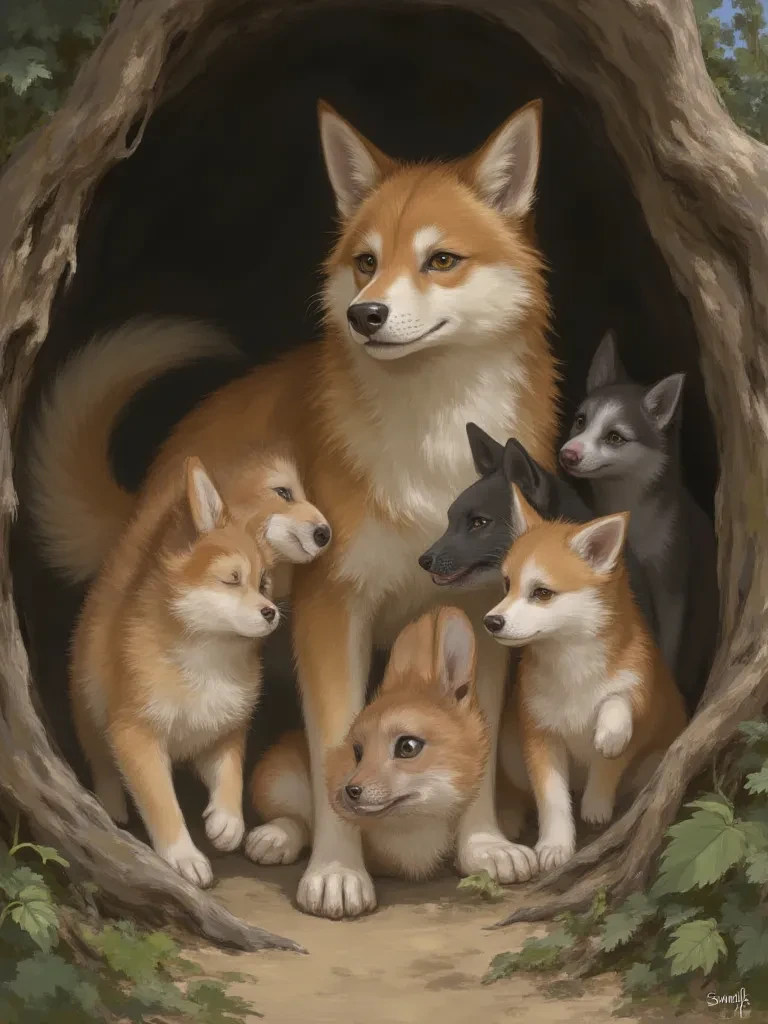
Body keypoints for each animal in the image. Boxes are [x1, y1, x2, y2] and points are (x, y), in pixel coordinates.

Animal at [70, 453, 328, 888]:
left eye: (264, 583)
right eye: (232, 580)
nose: (270, 612)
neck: (208, 663)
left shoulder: (221, 733)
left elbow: (231, 777)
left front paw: (228, 822)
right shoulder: (136, 736)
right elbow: (162, 804)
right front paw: (183, 856)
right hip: (89, 701)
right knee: (99, 757)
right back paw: (109, 802)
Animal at [483, 485, 688, 872]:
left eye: (542, 593)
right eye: (506, 585)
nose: (491, 621)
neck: (571, 668)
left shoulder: (641, 702)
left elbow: (615, 718)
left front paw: (597, 797)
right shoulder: (540, 736)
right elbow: (552, 801)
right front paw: (555, 845)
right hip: (511, 753)